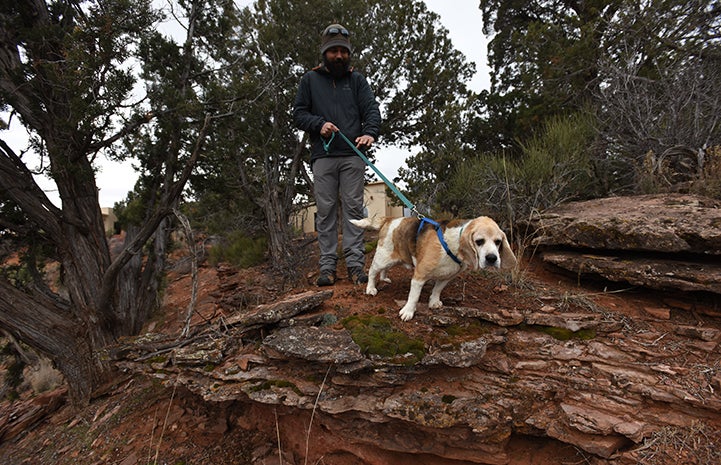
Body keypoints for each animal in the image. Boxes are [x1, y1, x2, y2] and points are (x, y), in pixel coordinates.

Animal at [350, 216, 516, 320]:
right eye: (479, 241)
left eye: (498, 242)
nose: (492, 258)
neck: (451, 245)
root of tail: (390, 219)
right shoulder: (419, 275)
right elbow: (414, 296)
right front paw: (408, 312)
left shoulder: (447, 276)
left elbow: (437, 289)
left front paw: (434, 302)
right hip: (383, 258)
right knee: (372, 271)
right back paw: (371, 288)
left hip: (394, 259)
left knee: (384, 270)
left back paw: (384, 278)